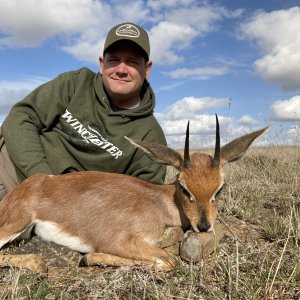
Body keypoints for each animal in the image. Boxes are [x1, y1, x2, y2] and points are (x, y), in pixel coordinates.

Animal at [0, 116, 268, 272]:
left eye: (219, 188)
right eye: (184, 187)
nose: (203, 226)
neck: (160, 203)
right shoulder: (118, 241)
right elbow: (167, 260)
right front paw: (87, 258)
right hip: (15, 224)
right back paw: (38, 263)